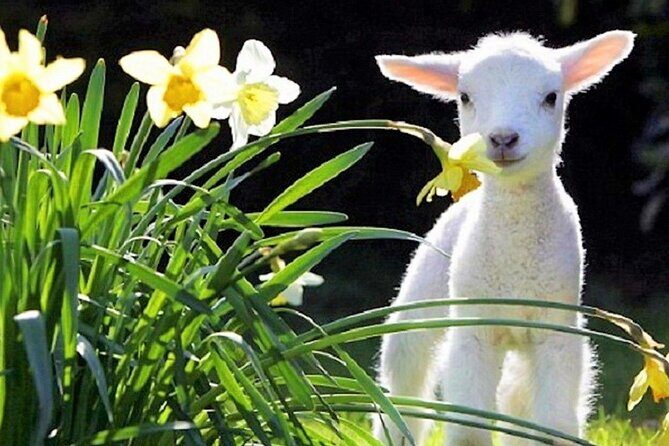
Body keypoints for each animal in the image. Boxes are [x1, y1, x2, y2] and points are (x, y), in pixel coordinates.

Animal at [373, 30, 635, 446]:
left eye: (551, 97)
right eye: (465, 96)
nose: (502, 138)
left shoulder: (556, 330)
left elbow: (554, 422)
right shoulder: (473, 330)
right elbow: (469, 429)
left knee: (516, 400)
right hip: (418, 305)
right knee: (404, 385)